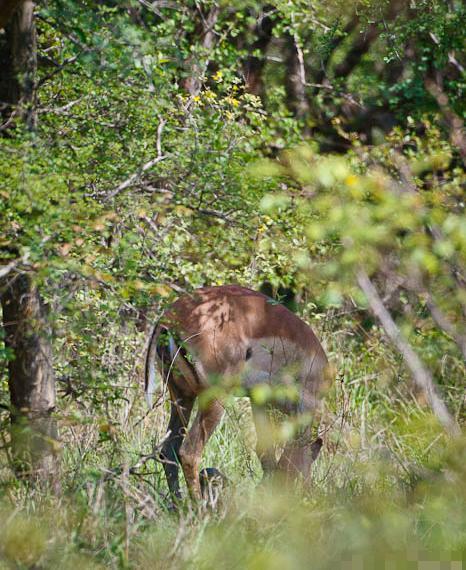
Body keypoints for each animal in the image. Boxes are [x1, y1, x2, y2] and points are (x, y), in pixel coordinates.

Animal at [144, 284, 330, 496]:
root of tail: (169, 318)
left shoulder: (259, 402)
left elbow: (265, 454)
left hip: (182, 397)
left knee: (168, 450)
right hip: (215, 398)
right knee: (189, 452)